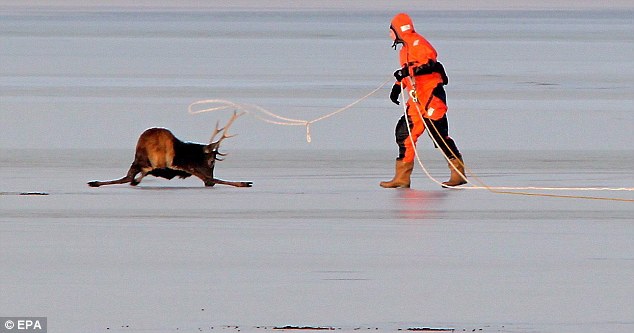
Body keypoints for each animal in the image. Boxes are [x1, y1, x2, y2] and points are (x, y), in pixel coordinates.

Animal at [89, 112, 252, 187]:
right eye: (212, 161)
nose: (210, 186)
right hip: (170, 163)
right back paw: (243, 183)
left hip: (137, 161)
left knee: (128, 177)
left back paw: (95, 182)